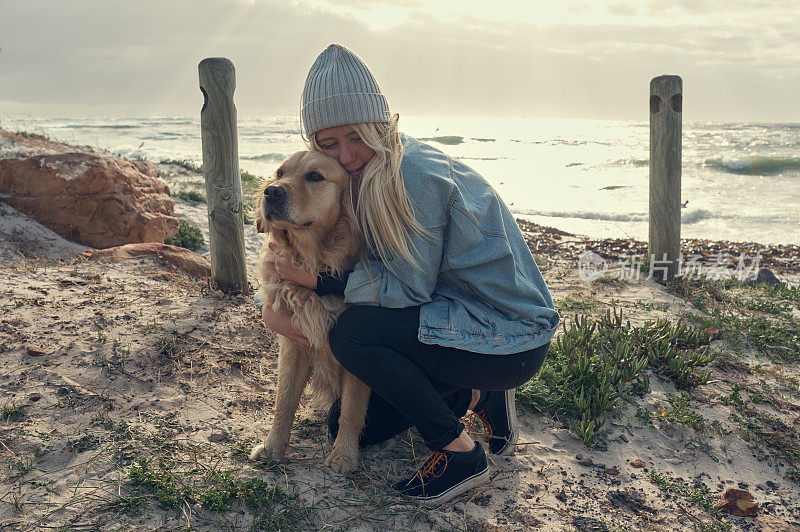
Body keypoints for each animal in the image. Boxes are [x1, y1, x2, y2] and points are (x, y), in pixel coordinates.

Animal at [250, 152, 368, 472]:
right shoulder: (294, 344)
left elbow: (350, 411)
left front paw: (343, 455)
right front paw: (273, 446)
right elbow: (284, 400)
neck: (312, 261)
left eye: (315, 176)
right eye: (279, 173)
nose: (271, 191)